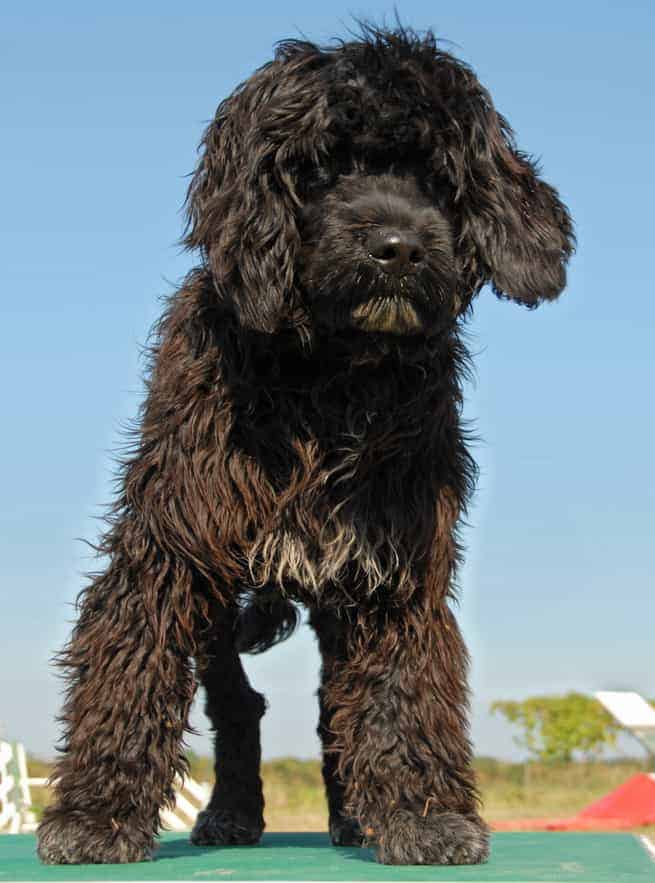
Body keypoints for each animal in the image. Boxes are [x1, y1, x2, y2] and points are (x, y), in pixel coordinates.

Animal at [37, 24, 576, 868]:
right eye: (321, 168)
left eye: (436, 176)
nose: (398, 246)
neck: (329, 375)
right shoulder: (172, 542)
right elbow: (134, 659)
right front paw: (94, 814)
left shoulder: (391, 560)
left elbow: (396, 684)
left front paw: (420, 814)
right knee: (237, 703)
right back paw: (231, 811)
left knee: (330, 706)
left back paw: (350, 812)